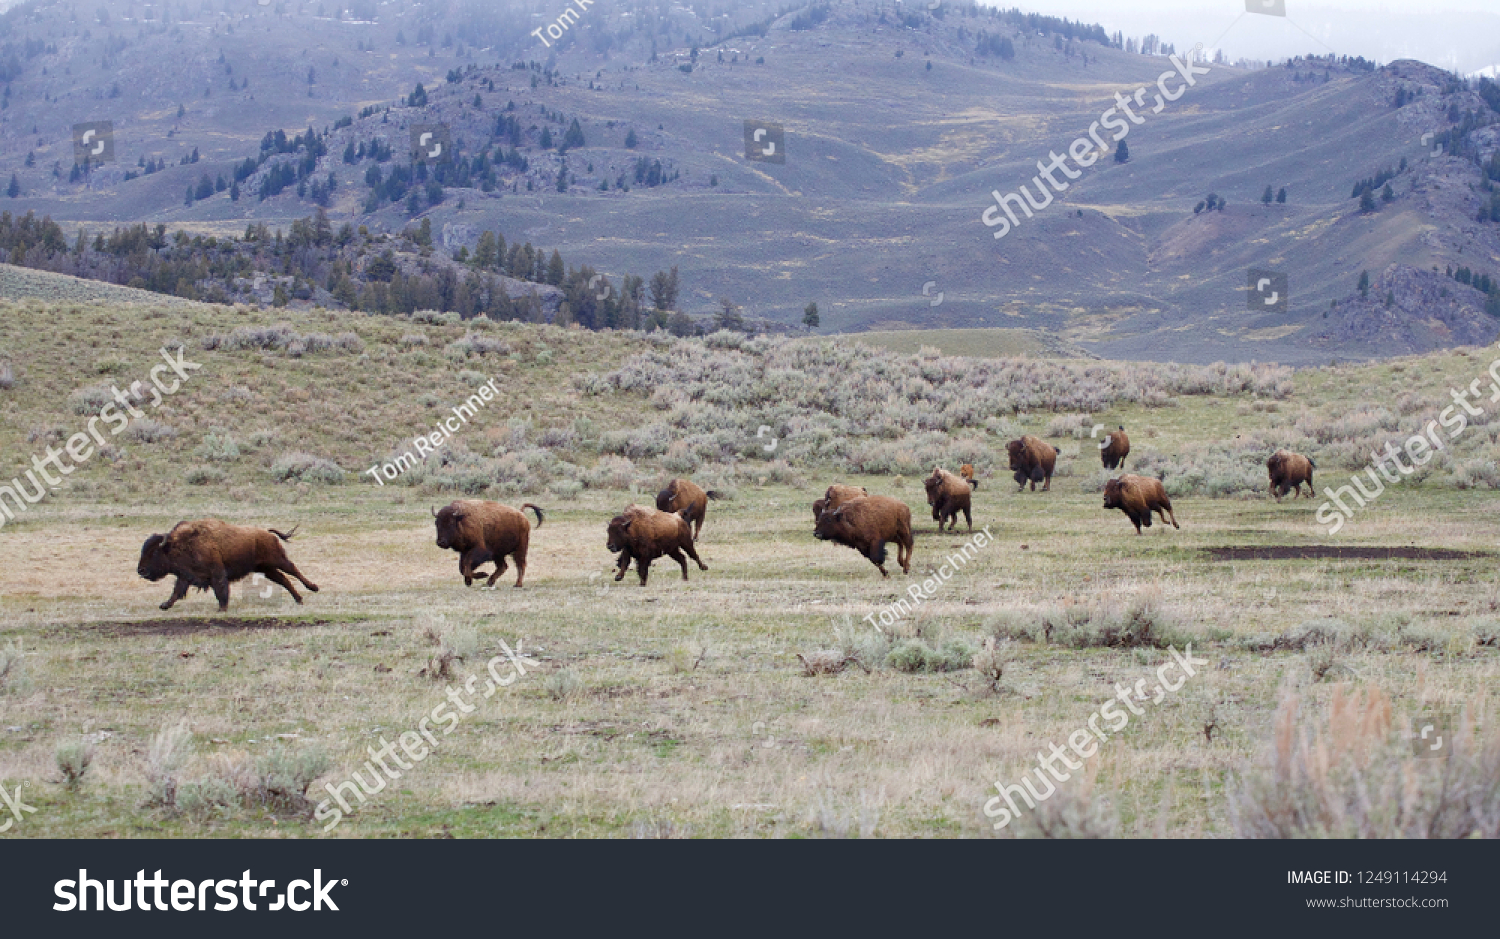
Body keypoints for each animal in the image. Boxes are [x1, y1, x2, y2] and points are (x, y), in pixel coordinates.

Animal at [138, 516, 319, 612]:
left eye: (154, 552)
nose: (140, 570)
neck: (178, 544)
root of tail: (267, 533)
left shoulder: (216, 573)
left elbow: (220, 590)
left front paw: (222, 609)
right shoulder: (186, 575)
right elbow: (177, 591)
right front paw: (164, 605)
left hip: (277, 560)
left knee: (293, 570)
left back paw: (313, 588)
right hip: (265, 568)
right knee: (283, 579)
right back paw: (299, 600)